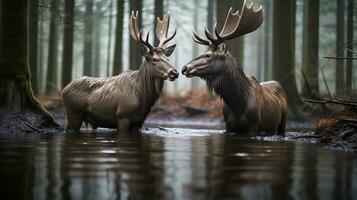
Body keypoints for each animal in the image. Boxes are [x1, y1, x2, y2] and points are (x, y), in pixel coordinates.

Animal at [182, 0, 288, 134]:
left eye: (208, 55)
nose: (184, 68)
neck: (237, 104)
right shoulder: (228, 126)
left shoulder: (253, 125)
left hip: (283, 121)